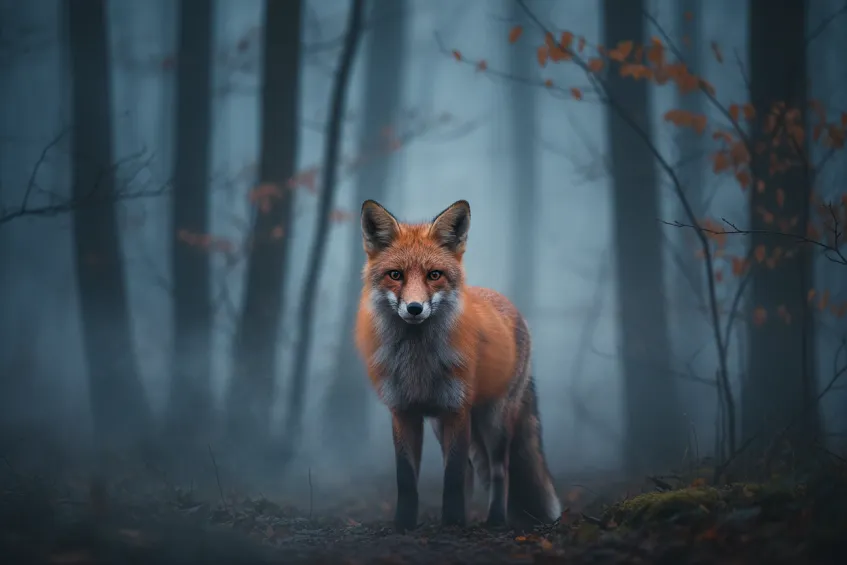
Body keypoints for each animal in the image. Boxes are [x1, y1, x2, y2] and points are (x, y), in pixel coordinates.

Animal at [354, 199, 562, 532]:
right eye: (395, 275)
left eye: (434, 275)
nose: (414, 308)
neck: (419, 364)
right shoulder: (404, 412)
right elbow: (407, 479)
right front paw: (405, 524)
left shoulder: (456, 409)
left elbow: (451, 477)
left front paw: (452, 523)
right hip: (444, 425)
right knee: (470, 469)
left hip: (495, 419)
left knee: (498, 470)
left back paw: (494, 520)